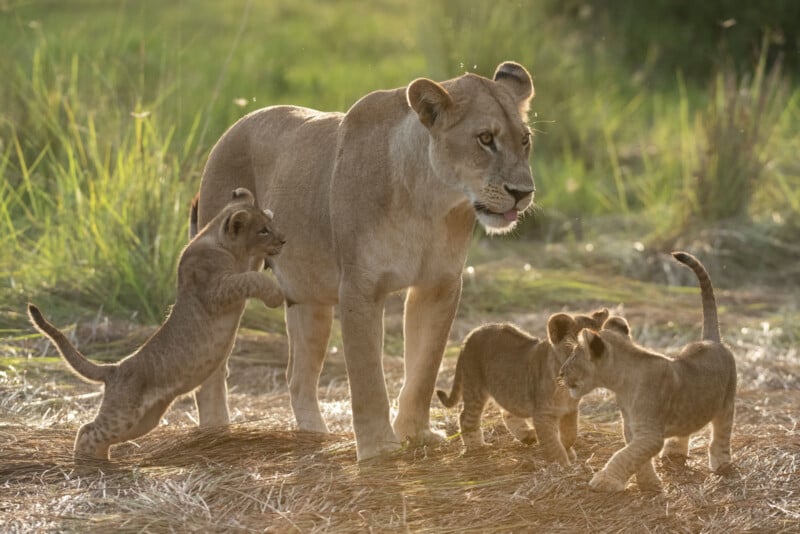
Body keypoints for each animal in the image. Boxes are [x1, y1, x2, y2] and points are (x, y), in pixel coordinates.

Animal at [28, 188, 285, 460]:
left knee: (96, 433)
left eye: (270, 223)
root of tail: (114, 369)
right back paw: (88, 463)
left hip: (145, 420)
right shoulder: (215, 291)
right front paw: (276, 295)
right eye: (263, 230)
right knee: (88, 431)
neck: (220, 242)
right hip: (123, 414)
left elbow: (251, 270)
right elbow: (251, 278)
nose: (284, 240)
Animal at [191, 62, 536, 460]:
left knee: (298, 377)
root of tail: (233, 127)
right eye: (485, 138)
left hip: (309, 297)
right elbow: (367, 375)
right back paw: (216, 433)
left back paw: (315, 437)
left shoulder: (439, 286)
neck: (431, 201)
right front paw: (378, 449)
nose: (523, 193)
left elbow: (425, 367)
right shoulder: (360, 287)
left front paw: (416, 434)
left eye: (524, 140)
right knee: (213, 370)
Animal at [436, 309, 609, 465]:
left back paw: (528, 436)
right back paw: (476, 446)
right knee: (466, 416)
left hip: (507, 389)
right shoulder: (543, 414)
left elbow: (571, 433)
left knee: (507, 413)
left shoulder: (570, 410)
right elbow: (552, 442)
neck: (565, 390)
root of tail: (471, 334)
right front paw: (562, 463)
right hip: (474, 386)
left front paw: (569, 451)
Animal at [559, 251, 737, 492]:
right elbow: (637, 457)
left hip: (727, 402)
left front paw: (605, 481)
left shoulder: (649, 433)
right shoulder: (632, 428)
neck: (621, 384)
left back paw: (721, 464)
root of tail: (711, 340)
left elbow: (624, 455)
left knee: (721, 433)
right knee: (685, 430)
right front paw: (650, 484)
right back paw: (673, 453)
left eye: (574, 356)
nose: (560, 373)